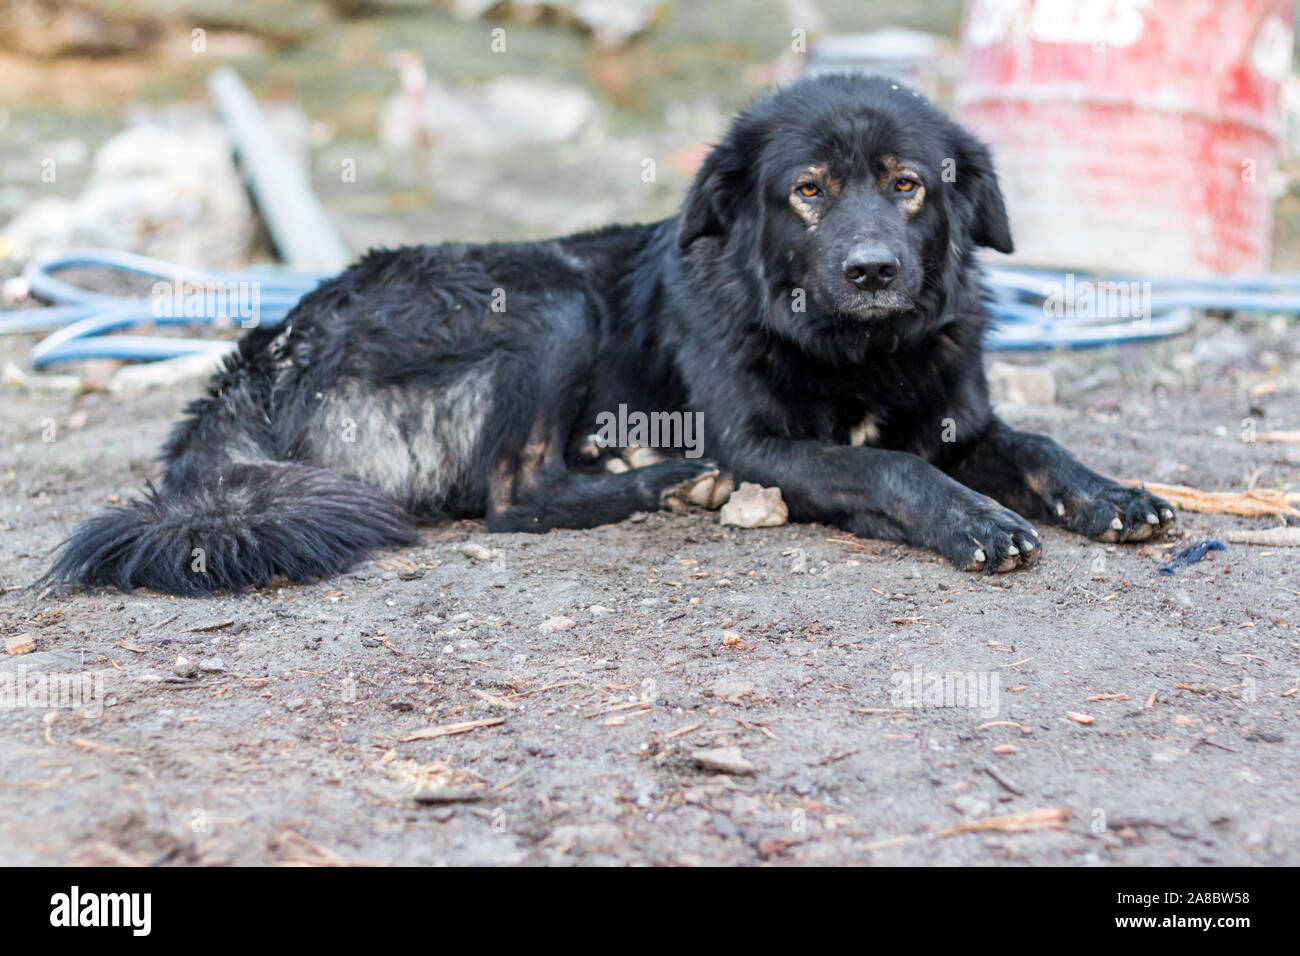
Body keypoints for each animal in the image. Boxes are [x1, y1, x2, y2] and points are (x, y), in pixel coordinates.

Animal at [43, 74, 1180, 595]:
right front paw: (967, 519)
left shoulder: (954, 415)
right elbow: (886, 470)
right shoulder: (761, 442)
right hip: (551, 299)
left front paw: (1115, 496)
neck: (858, 353)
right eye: (808, 191)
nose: (872, 272)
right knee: (512, 498)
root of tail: (270, 350)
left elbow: (1035, 443)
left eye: (908, 185)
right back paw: (665, 480)